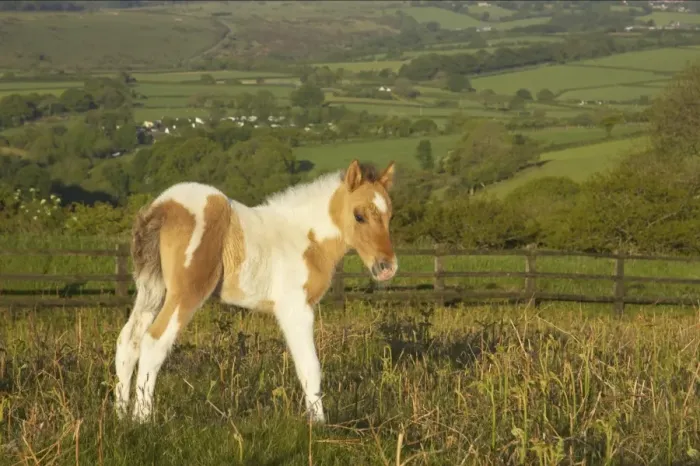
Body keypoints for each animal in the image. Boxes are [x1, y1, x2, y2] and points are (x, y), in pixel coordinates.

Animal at [114, 159, 398, 424]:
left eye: (390, 217)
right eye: (359, 216)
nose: (387, 267)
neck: (306, 238)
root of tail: (162, 206)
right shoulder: (295, 309)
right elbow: (310, 366)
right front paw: (318, 425)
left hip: (152, 288)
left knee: (128, 339)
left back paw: (119, 415)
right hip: (186, 292)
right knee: (154, 341)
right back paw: (142, 419)